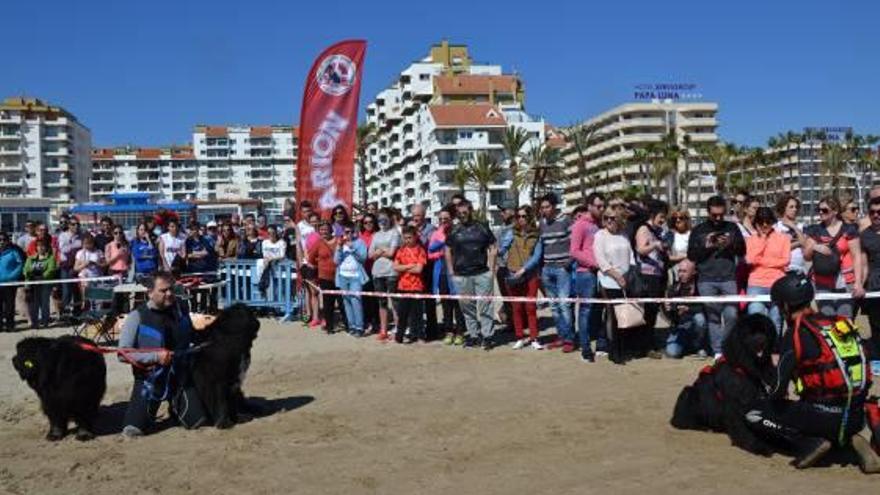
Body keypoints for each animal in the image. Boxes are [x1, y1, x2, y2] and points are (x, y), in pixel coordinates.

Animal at [668, 314, 776, 458]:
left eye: (765, 331)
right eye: (751, 333)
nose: (761, 340)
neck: (744, 367)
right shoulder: (735, 404)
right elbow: (743, 429)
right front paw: (758, 447)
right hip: (688, 392)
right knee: (681, 420)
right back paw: (702, 427)